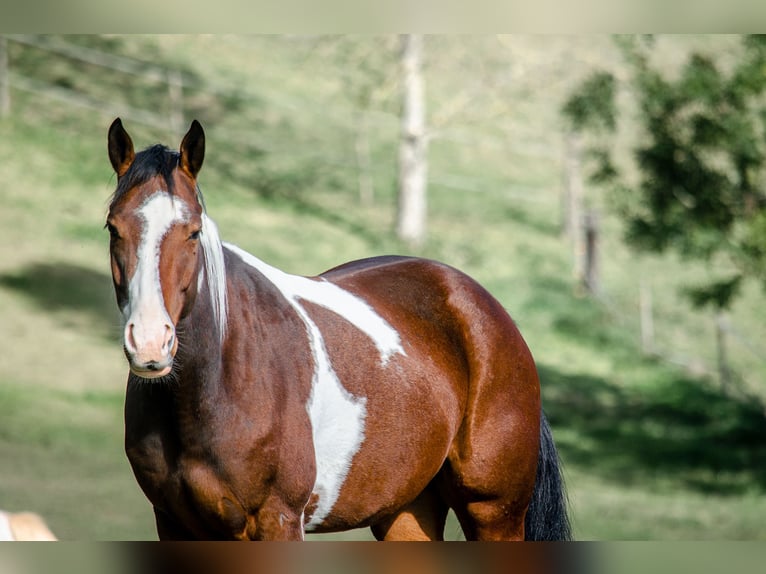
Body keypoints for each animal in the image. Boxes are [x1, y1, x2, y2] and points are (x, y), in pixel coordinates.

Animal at [105, 118, 568, 544]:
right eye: (113, 227)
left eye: (193, 231)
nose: (150, 343)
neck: (219, 381)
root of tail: (487, 310)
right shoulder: (175, 524)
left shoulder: (278, 521)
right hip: (406, 512)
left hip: (493, 514)